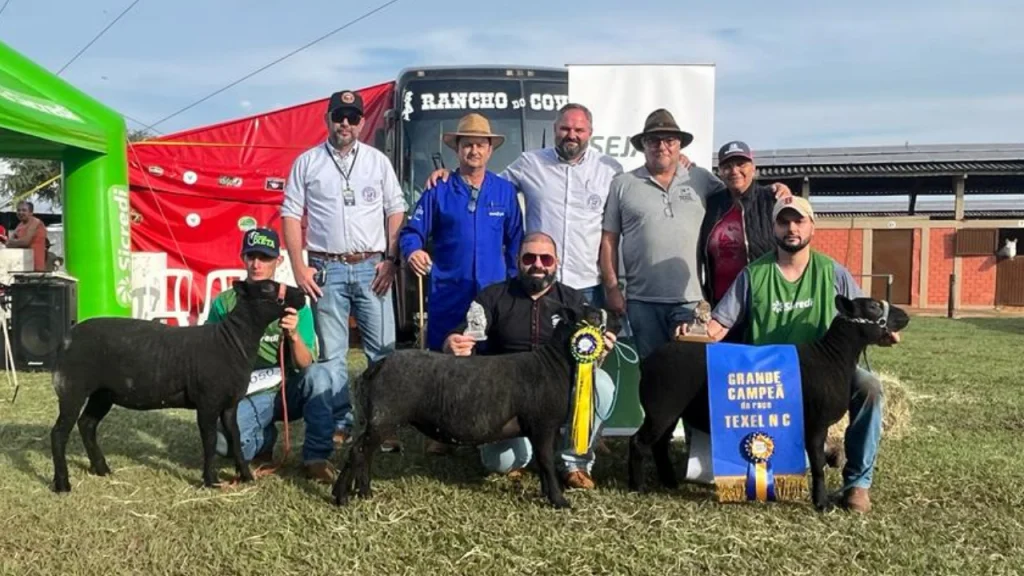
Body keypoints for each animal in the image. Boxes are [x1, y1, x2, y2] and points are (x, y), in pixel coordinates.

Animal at [50, 278, 308, 493]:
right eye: (268, 287)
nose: (303, 293)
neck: (232, 341)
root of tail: (67, 338)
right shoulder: (207, 402)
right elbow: (210, 441)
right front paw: (211, 481)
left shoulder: (229, 404)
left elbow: (235, 438)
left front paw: (246, 476)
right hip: (72, 389)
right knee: (59, 434)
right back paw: (62, 484)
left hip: (103, 393)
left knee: (87, 424)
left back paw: (102, 469)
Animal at [331, 303, 621, 509]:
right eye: (592, 313)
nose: (618, 316)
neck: (553, 363)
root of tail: (379, 365)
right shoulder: (543, 425)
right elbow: (547, 462)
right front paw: (559, 501)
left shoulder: (537, 428)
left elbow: (542, 463)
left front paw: (548, 495)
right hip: (385, 417)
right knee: (358, 452)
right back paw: (341, 496)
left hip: (380, 420)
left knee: (365, 454)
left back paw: (364, 493)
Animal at [627, 295, 910, 511]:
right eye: (873, 306)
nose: (906, 316)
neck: (833, 357)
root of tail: (647, 362)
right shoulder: (816, 423)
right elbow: (818, 464)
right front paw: (822, 503)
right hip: (661, 408)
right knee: (639, 442)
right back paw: (636, 487)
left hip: (669, 411)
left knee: (659, 444)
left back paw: (669, 482)